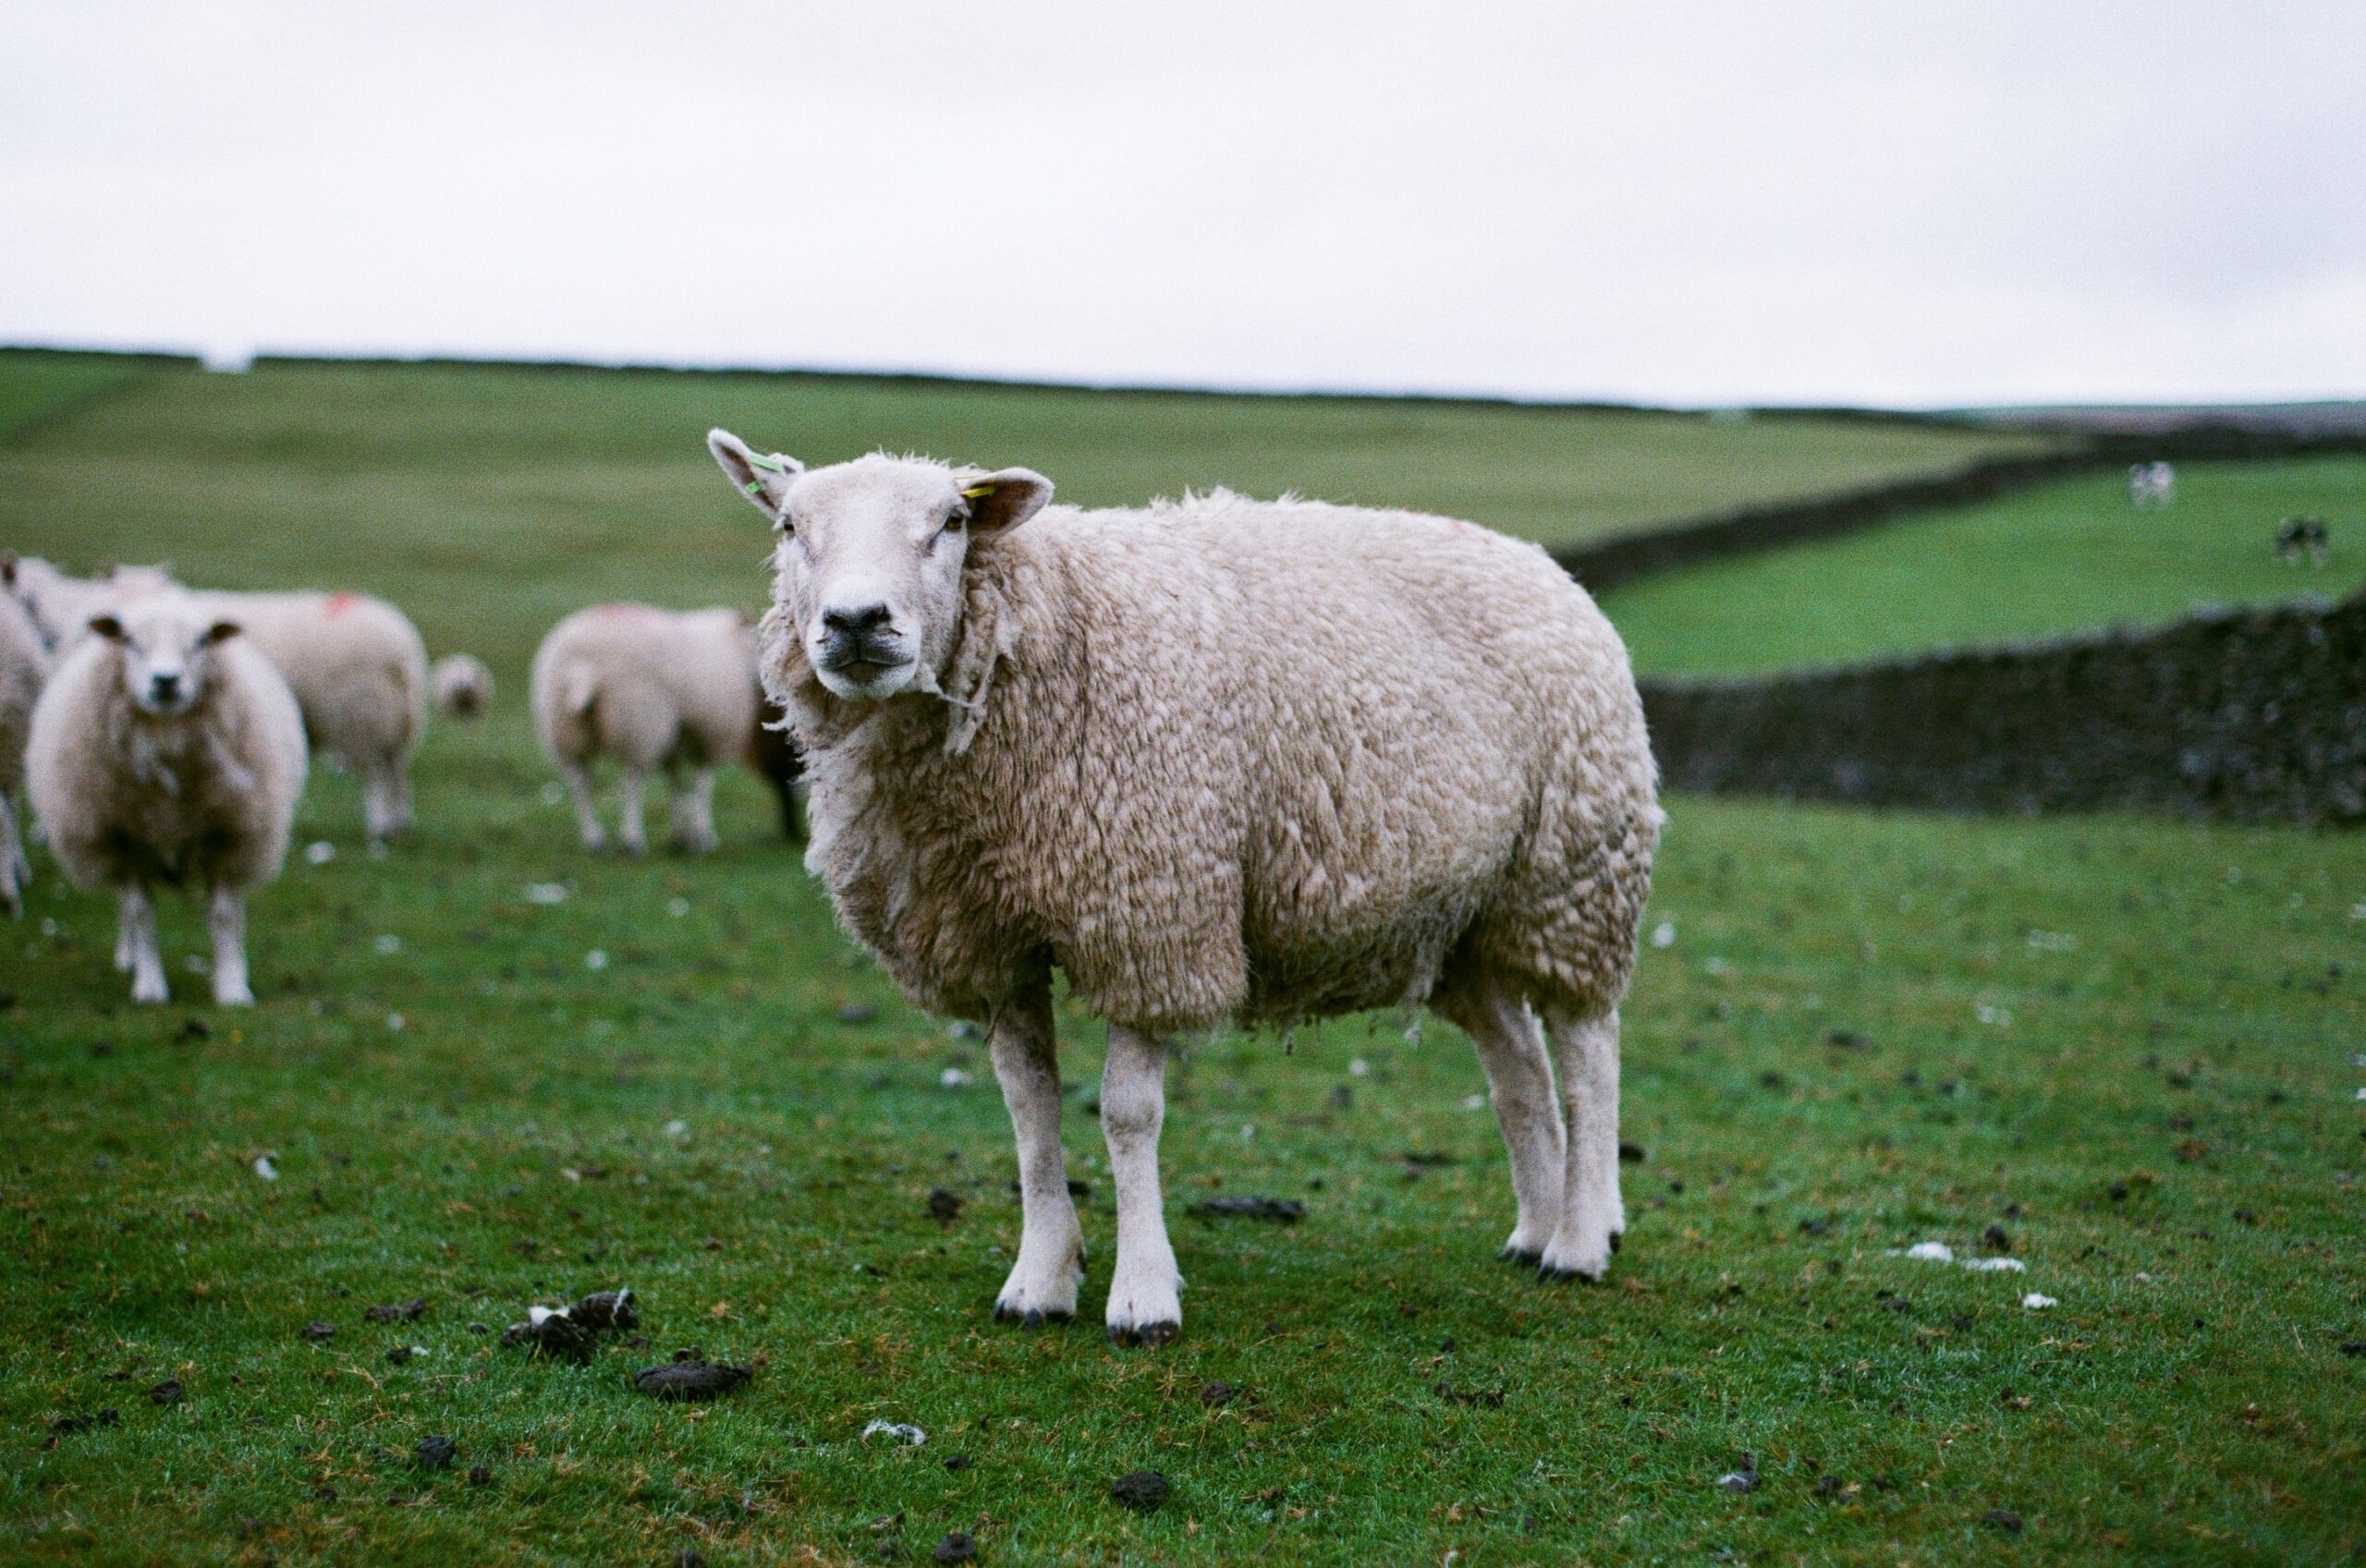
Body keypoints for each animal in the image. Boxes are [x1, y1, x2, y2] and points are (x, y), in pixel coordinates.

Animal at [26, 589, 310, 1007]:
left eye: (202, 640)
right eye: (128, 640)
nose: (166, 681)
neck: (166, 736)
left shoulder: (227, 833)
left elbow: (224, 915)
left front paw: (232, 988)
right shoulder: (124, 838)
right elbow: (141, 913)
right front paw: (150, 987)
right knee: (126, 906)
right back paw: (129, 958)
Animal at [532, 602, 762, 860]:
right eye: (757, 640)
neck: (731, 649)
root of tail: (583, 668)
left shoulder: (678, 735)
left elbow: (675, 782)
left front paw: (680, 836)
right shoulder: (709, 734)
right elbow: (702, 786)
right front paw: (704, 837)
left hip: (565, 730)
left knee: (581, 784)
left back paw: (595, 839)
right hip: (638, 721)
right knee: (631, 782)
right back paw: (632, 840)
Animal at [710, 432, 1656, 1353]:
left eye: (950, 521)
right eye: (788, 527)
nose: (856, 622)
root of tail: (1545, 566)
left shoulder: (1150, 910)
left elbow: (1129, 1114)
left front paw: (1142, 1298)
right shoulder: (990, 939)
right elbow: (1028, 1104)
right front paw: (1039, 1280)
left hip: (1573, 874)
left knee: (1587, 1053)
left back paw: (1578, 1243)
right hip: (1462, 917)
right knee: (1519, 1065)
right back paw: (1534, 1228)